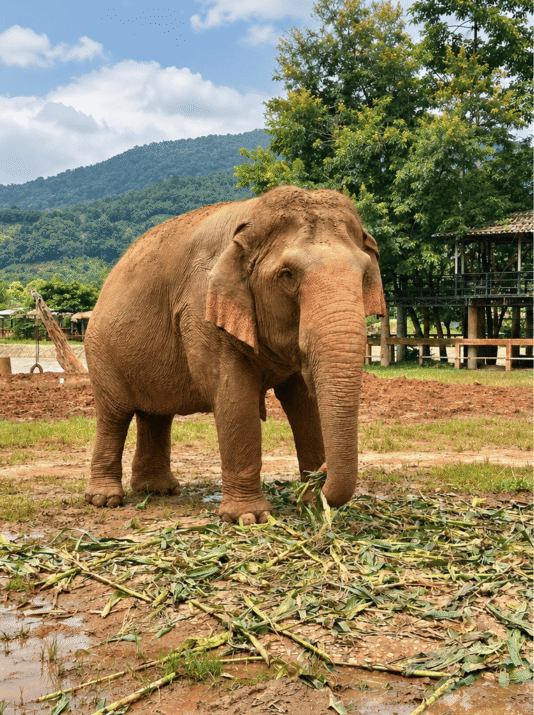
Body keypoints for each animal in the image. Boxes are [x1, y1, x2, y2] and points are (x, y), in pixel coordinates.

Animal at [84, 185, 386, 523]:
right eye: (287, 275)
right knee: (114, 414)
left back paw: (158, 490)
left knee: (156, 414)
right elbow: (234, 396)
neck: (250, 217)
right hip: (100, 350)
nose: (321, 473)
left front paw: (310, 503)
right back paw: (105, 499)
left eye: (364, 275)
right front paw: (250, 518)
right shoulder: (201, 309)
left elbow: (304, 402)